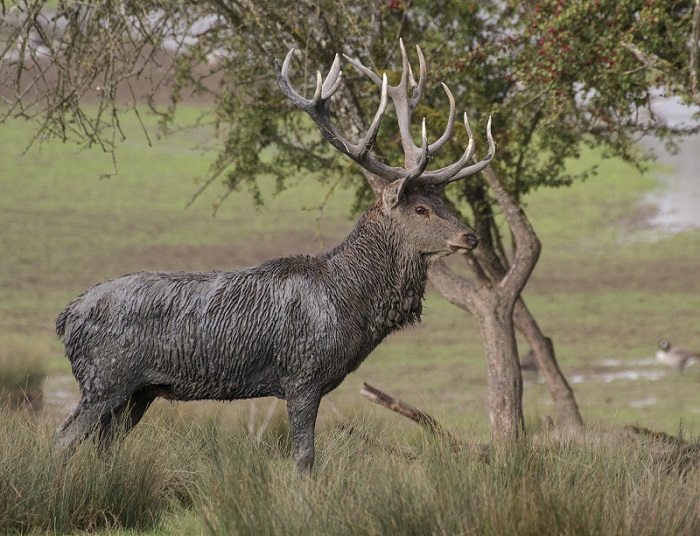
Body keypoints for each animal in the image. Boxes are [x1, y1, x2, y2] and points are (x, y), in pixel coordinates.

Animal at [55, 40, 494, 475]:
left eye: (443, 201)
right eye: (420, 209)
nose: (470, 236)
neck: (351, 306)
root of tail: (66, 316)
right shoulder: (302, 375)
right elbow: (304, 456)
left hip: (139, 392)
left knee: (104, 447)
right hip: (104, 378)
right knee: (63, 438)